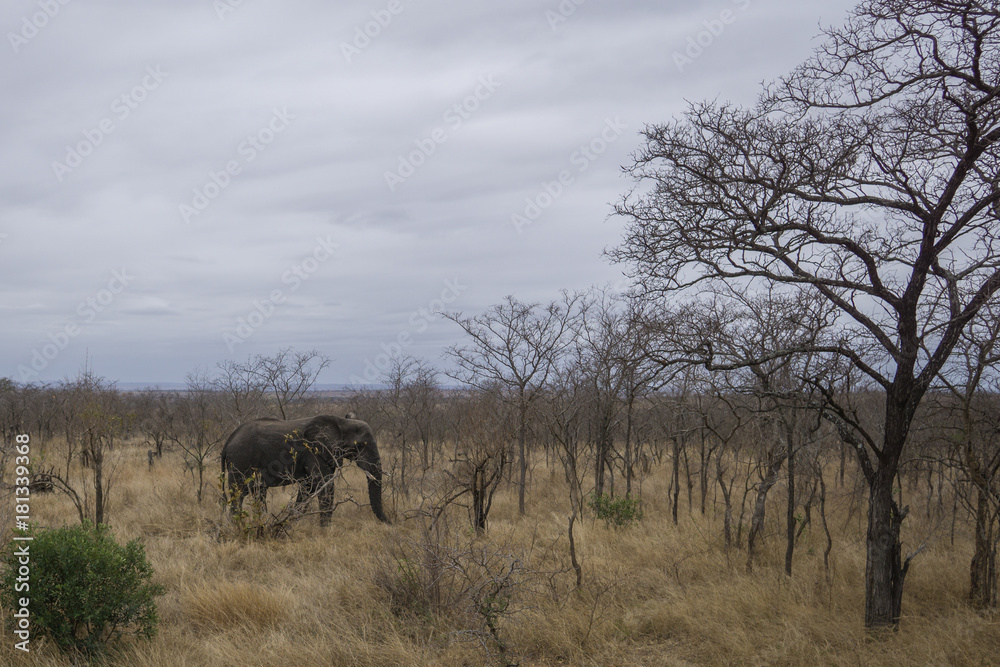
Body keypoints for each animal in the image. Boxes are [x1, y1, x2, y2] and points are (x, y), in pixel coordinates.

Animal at [221, 414, 389, 524]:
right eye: (360, 446)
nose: (390, 523)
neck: (343, 422)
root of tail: (228, 440)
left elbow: (309, 486)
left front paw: (292, 523)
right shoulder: (314, 451)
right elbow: (323, 484)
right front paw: (325, 531)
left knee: (258, 492)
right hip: (240, 460)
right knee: (239, 493)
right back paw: (237, 526)